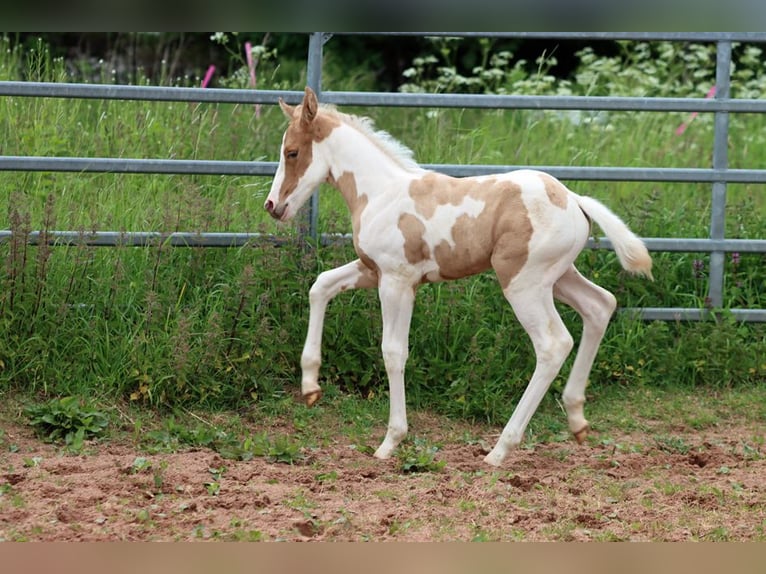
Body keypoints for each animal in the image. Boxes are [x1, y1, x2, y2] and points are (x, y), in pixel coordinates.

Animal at [265, 87, 653, 467]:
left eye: (292, 152)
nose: (272, 206)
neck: (380, 192)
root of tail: (573, 199)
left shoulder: (396, 281)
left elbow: (393, 352)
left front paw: (391, 441)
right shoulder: (373, 270)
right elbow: (321, 286)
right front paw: (310, 387)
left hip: (524, 284)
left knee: (553, 344)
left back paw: (500, 450)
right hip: (558, 277)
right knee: (600, 305)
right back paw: (576, 421)